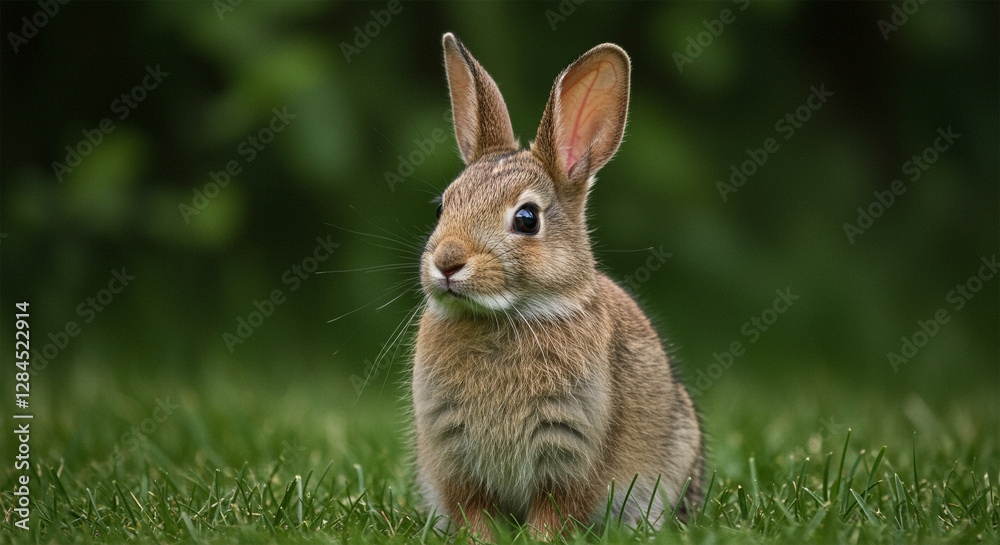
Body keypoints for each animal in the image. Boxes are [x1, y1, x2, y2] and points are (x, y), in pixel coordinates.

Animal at [411, 32, 704, 540]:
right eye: (441, 207)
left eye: (527, 219)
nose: (446, 263)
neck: (504, 317)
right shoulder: (454, 455)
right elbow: (474, 510)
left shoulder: (570, 449)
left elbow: (555, 511)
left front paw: (538, 539)